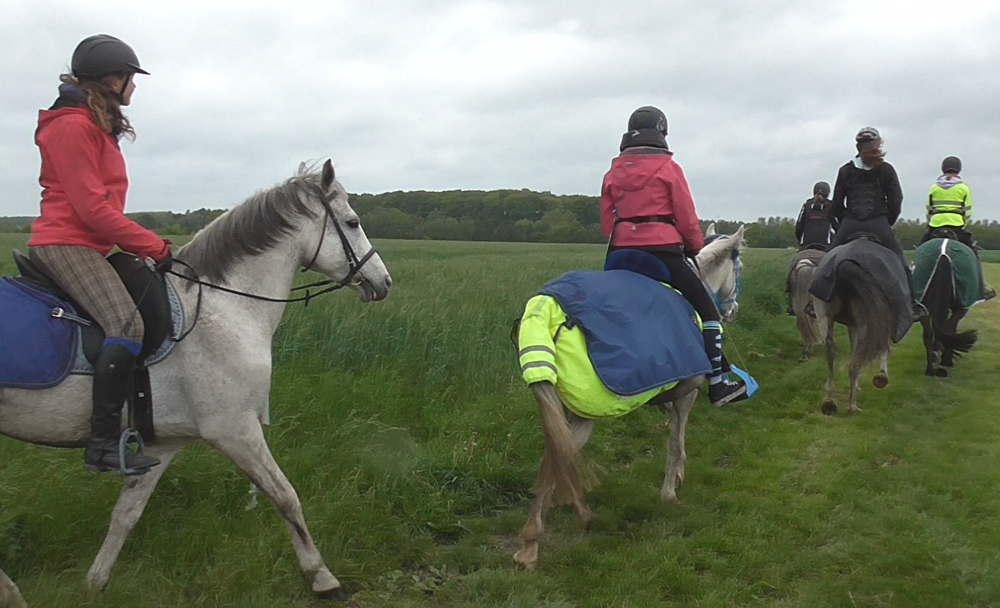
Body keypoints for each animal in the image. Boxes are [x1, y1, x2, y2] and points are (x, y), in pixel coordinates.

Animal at [0, 160, 391, 605]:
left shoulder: (163, 444)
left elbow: (126, 514)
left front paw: (95, 582)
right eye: (353, 222)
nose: (384, 282)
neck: (223, 308)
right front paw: (323, 578)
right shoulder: (235, 430)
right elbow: (285, 496)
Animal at [512, 225, 746, 568]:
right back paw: (535, 541)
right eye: (738, 267)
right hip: (582, 413)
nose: (733, 310)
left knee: (556, 452)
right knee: (561, 455)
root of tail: (550, 307)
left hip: (562, 407)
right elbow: (676, 441)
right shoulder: (687, 393)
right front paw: (671, 490)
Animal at [913, 236, 980, 377]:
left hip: (925, 306)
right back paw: (943, 366)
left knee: (929, 333)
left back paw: (930, 369)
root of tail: (943, 255)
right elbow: (950, 329)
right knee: (946, 329)